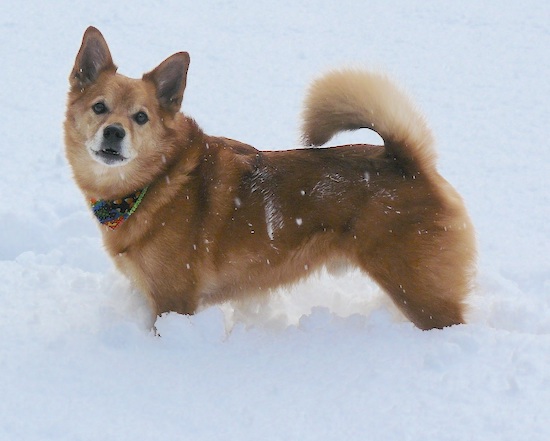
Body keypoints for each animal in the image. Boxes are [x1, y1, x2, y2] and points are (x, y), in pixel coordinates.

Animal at [66, 26, 478, 330]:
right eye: (99, 107)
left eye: (141, 117)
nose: (114, 133)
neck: (156, 181)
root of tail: (408, 162)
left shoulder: (174, 302)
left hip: (419, 292)